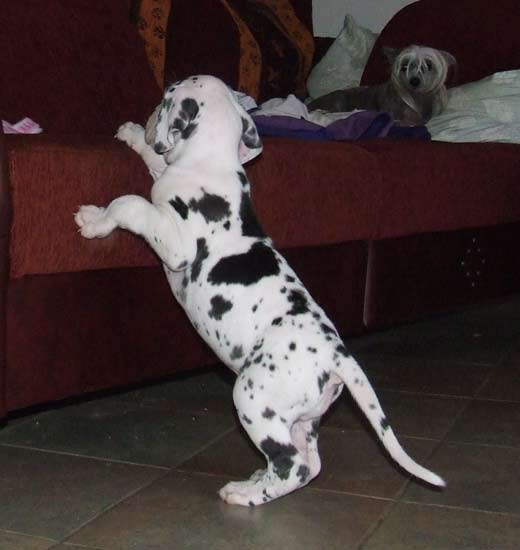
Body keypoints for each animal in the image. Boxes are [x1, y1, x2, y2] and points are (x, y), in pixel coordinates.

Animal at [74, 75, 445, 506]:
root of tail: (341, 359)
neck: (211, 160)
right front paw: (133, 135)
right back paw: (257, 482)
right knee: (308, 465)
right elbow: (155, 163)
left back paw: (243, 494)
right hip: (301, 418)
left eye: (168, 95)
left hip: (252, 398)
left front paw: (95, 220)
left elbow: (130, 202)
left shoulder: (176, 245)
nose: (153, 107)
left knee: (292, 465)